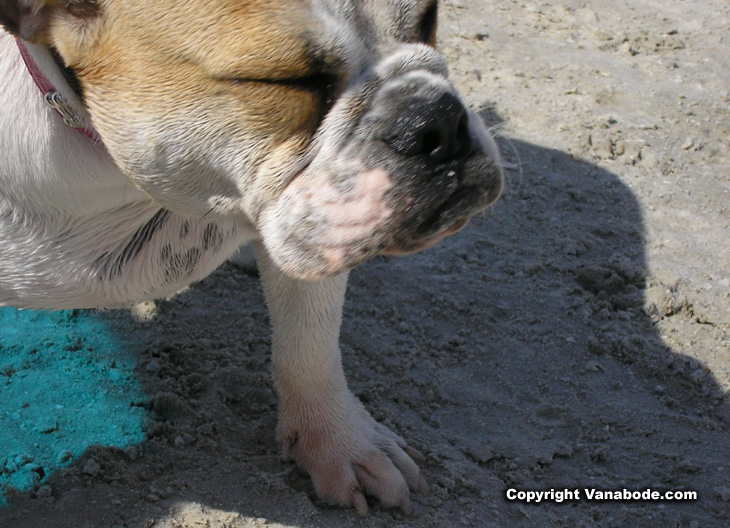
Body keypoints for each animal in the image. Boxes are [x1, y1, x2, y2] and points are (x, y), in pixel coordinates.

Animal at [0, 0, 500, 516]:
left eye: (428, 18)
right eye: (282, 81)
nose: (436, 120)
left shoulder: (311, 221)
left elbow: (310, 342)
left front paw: (342, 441)